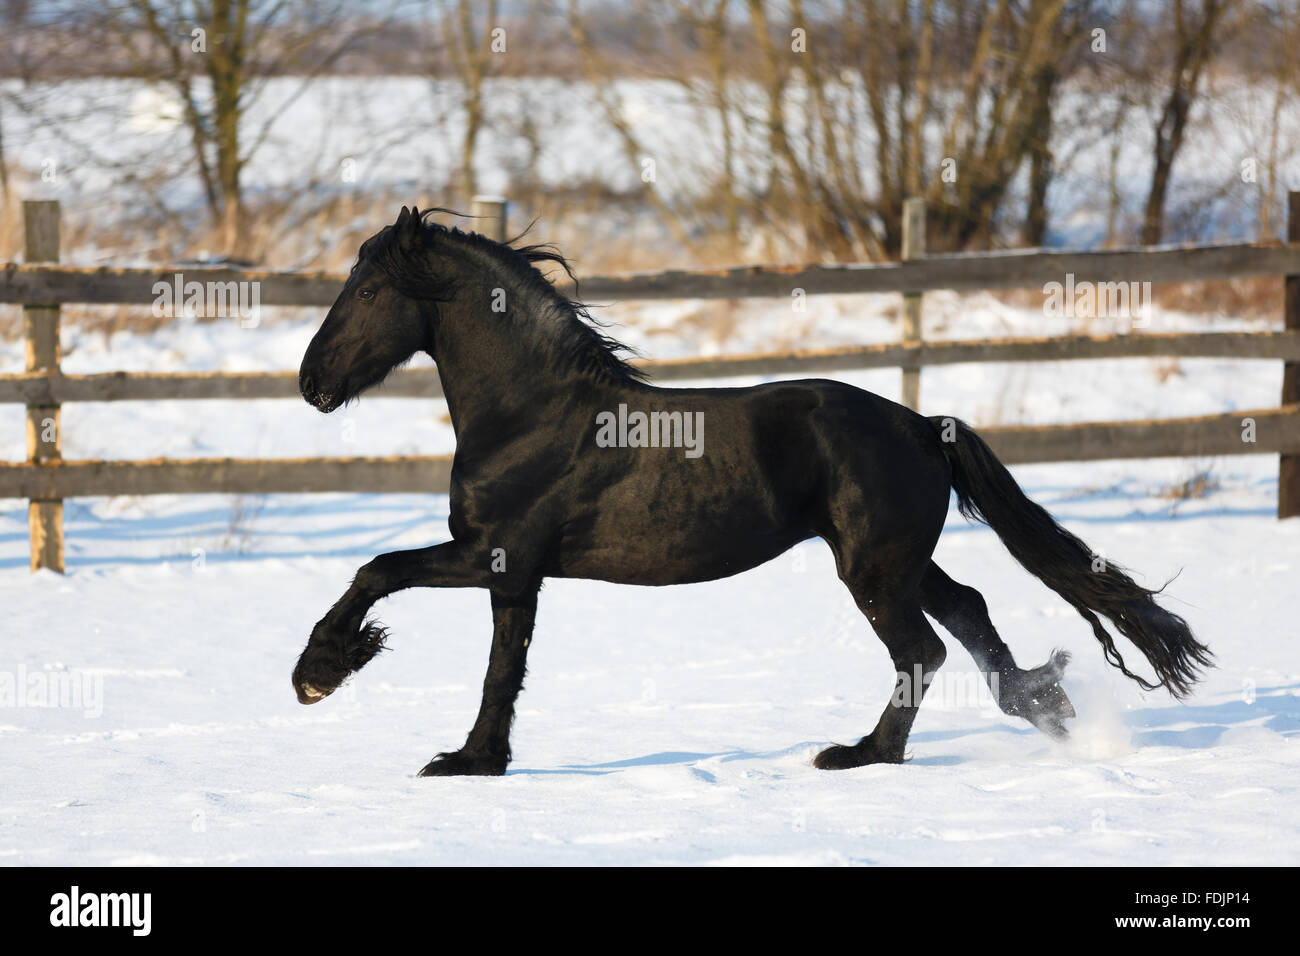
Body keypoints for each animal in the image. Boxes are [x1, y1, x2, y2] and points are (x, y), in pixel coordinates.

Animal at [291, 206, 1211, 776]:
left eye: (368, 290)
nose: (311, 383)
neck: (532, 412)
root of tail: (925, 425)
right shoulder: (516, 576)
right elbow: (502, 670)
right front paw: (473, 762)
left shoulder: (492, 554)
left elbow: (379, 569)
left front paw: (319, 672)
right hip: (897, 560)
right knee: (969, 611)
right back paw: (1042, 705)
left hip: (871, 569)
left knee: (923, 649)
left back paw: (860, 754)